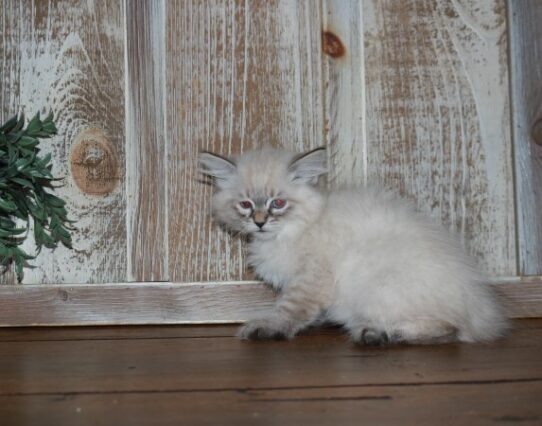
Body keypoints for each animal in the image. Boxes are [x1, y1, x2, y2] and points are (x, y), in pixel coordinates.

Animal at [200, 146, 510, 346]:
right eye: (245, 204)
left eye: (278, 203)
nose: (260, 223)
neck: (294, 230)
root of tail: (483, 313)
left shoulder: (310, 279)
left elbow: (289, 310)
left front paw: (268, 328)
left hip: (379, 288)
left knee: (451, 329)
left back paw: (379, 334)